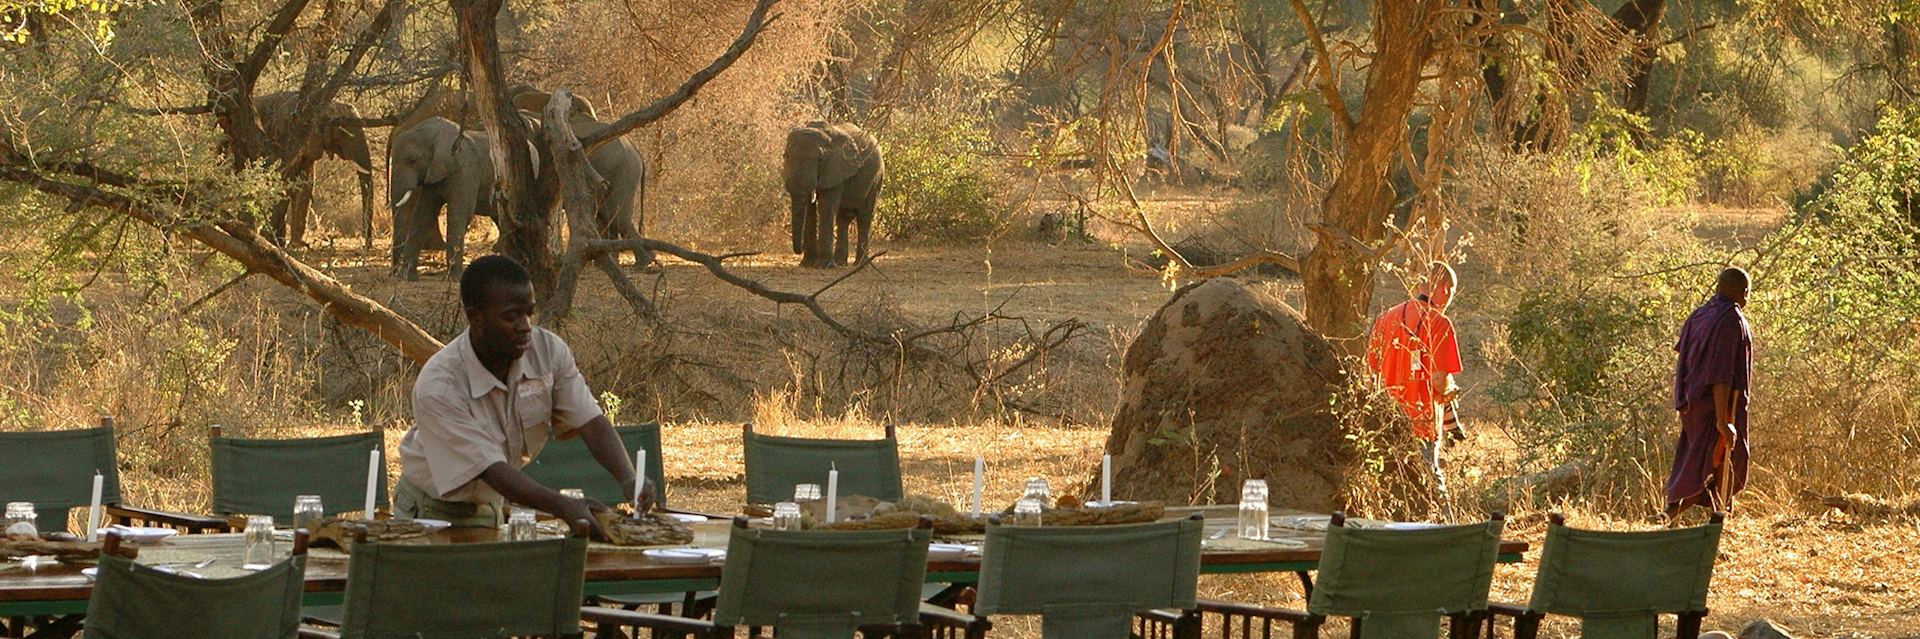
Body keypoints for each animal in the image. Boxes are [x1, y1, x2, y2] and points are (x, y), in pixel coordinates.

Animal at [384, 116, 495, 278]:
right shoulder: (432, 174)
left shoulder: (465, 171)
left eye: (412, 160)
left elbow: (459, 214)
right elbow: (422, 214)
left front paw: (453, 278)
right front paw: (408, 277)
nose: (394, 274)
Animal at [779, 121, 883, 266]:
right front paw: (807, 264)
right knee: (843, 218)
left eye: (820, 159)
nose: (799, 251)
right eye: (786, 156)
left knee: (864, 217)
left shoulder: (836, 169)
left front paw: (823, 266)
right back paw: (840, 263)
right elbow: (810, 210)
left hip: (877, 177)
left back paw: (860, 264)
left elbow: (826, 207)